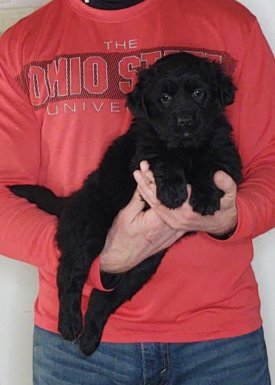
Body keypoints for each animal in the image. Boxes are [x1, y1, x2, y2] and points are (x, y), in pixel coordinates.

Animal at [10, 52, 244, 356]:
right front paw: (172, 190)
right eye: (164, 97)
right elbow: (161, 156)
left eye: (198, 92)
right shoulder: (143, 154)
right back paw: (70, 324)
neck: (186, 149)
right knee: (69, 273)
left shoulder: (227, 155)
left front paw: (204, 196)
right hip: (89, 230)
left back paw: (89, 339)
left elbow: (211, 165)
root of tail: (71, 201)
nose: (184, 122)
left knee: (102, 297)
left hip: (142, 267)